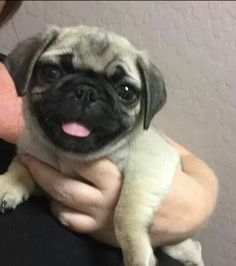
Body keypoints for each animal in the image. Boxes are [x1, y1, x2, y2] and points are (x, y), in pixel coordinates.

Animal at [0, 25, 204, 266]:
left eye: (126, 91)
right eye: (51, 72)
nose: (87, 91)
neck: (72, 155)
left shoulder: (150, 163)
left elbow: (125, 212)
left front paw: (136, 253)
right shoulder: (32, 155)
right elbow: (20, 168)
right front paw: (7, 185)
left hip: (176, 245)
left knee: (194, 248)